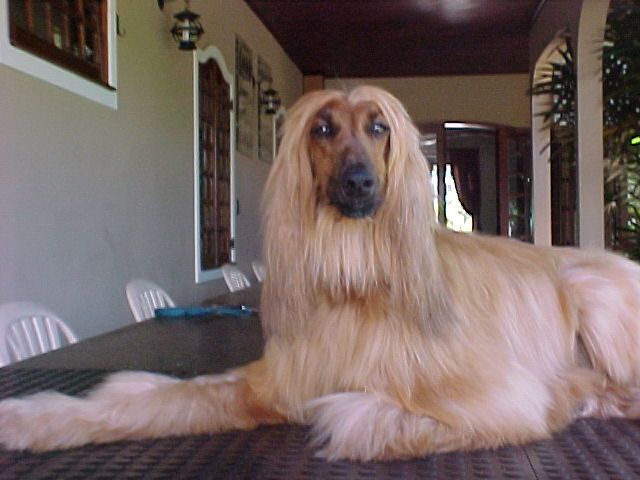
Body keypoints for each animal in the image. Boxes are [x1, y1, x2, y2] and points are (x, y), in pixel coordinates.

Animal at [2, 86, 640, 461]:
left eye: (379, 127)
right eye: (324, 128)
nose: (360, 183)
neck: (354, 280)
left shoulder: (494, 396)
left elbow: (352, 416)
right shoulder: (277, 381)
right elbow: (162, 399)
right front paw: (35, 419)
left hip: (593, 289)